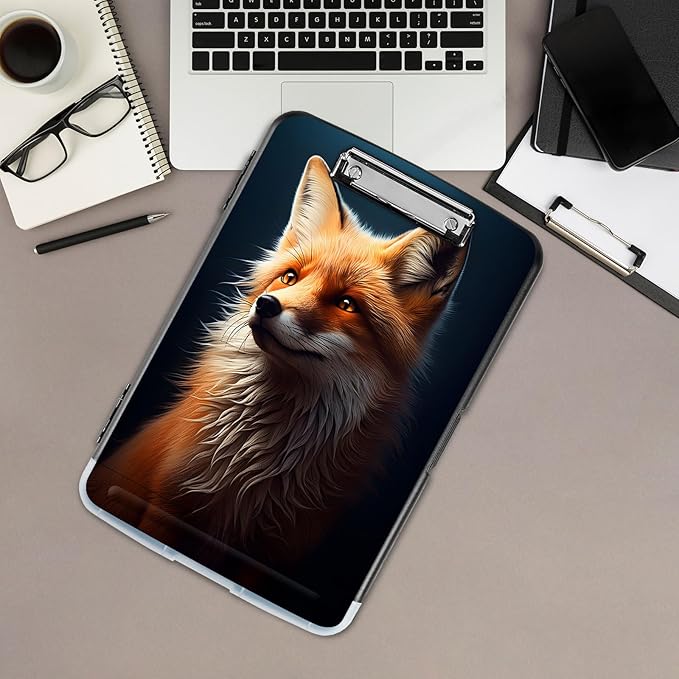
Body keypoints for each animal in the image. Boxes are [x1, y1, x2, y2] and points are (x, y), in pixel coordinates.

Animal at [88, 155, 468, 564]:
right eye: (289, 277)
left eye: (347, 304)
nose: (265, 305)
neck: (255, 461)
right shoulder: (169, 502)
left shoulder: (277, 551)